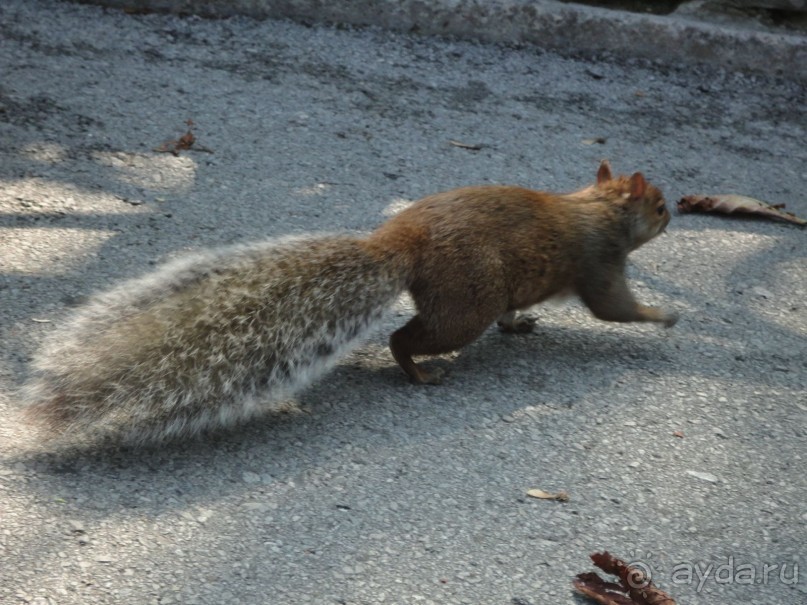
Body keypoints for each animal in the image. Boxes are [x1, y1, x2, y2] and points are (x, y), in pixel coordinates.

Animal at [19, 160, 680, 444]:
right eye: (661, 205)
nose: (675, 217)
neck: (598, 208)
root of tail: (401, 242)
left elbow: (519, 311)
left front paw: (521, 324)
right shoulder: (600, 263)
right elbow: (615, 309)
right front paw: (668, 315)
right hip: (464, 304)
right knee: (405, 338)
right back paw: (419, 375)